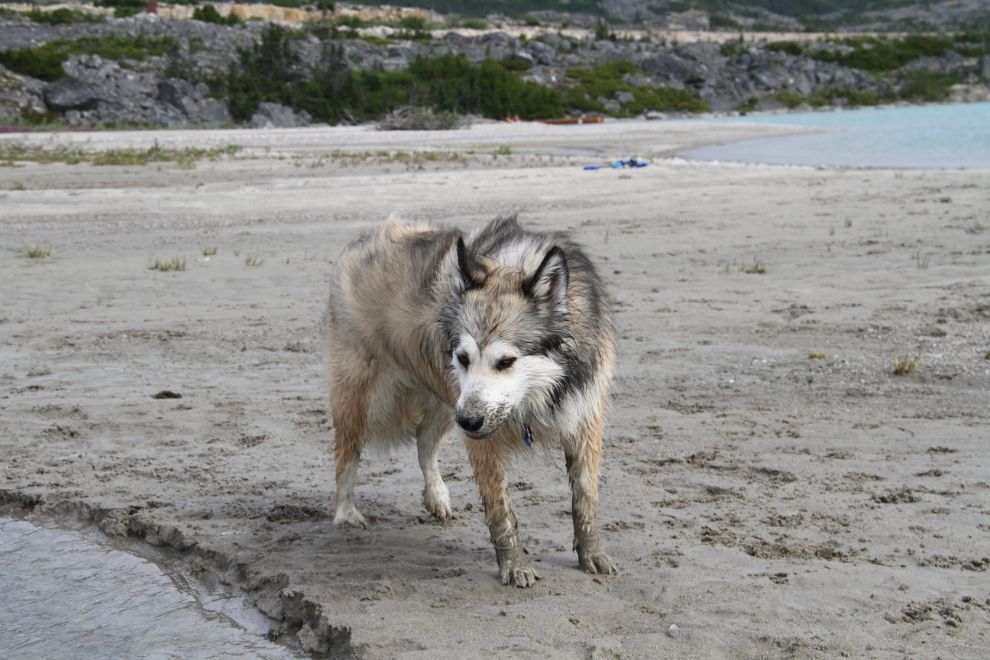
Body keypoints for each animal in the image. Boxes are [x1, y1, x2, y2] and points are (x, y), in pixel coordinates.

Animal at [330, 214, 616, 584]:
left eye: (506, 361)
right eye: (463, 358)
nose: (469, 422)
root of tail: (370, 234)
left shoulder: (584, 419)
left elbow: (585, 496)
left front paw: (592, 553)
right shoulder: (482, 438)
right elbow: (500, 509)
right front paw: (515, 564)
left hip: (445, 402)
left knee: (424, 444)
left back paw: (436, 496)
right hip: (365, 398)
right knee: (347, 452)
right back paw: (346, 512)